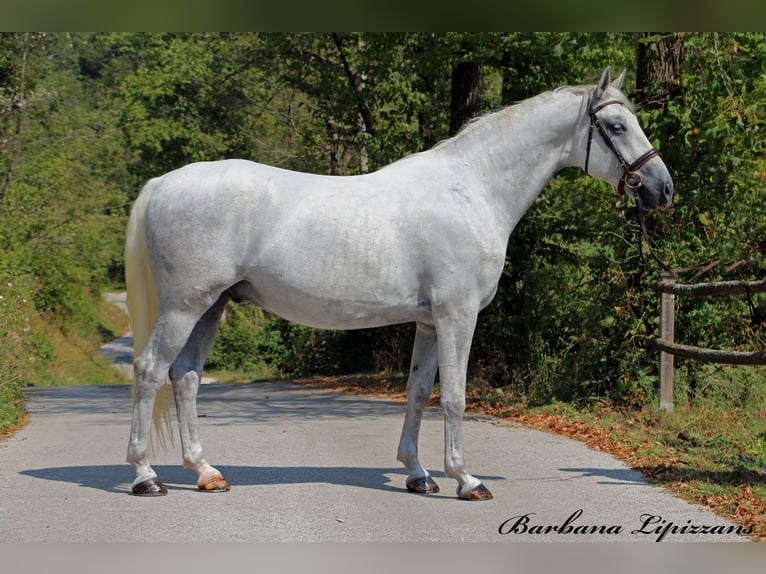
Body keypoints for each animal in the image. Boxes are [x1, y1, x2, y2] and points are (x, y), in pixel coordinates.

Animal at [124, 66, 672, 500]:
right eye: (617, 126)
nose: (663, 188)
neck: (472, 189)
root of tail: (165, 182)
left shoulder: (429, 322)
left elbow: (417, 391)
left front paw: (418, 475)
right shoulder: (457, 316)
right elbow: (454, 397)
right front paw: (466, 480)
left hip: (212, 306)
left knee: (186, 377)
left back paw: (206, 472)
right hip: (184, 305)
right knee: (151, 371)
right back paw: (146, 476)